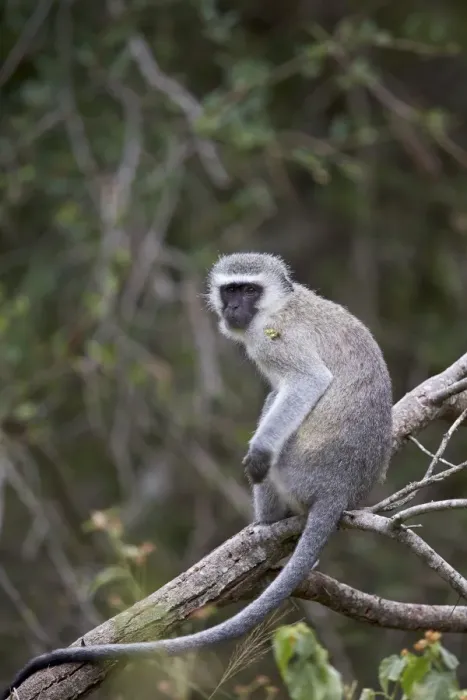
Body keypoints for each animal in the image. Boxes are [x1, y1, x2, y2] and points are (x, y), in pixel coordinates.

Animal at [2, 252, 392, 699]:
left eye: (249, 290)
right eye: (230, 290)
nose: (234, 307)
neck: (279, 305)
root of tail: (340, 489)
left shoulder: (275, 340)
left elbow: (306, 381)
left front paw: (260, 453)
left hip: (298, 469)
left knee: (276, 411)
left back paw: (265, 521)